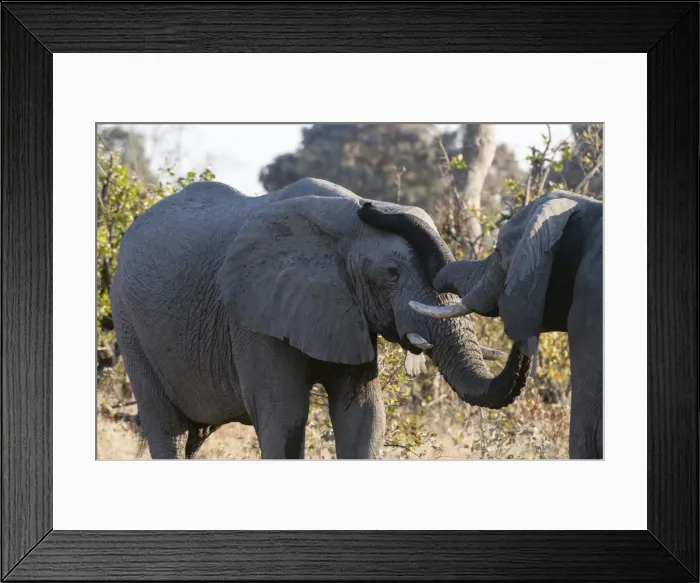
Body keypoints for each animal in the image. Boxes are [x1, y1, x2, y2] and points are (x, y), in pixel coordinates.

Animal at [110, 178, 533, 460]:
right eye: (392, 273)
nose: (374, 208)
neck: (342, 220)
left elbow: (364, 415)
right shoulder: (251, 316)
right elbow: (285, 417)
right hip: (129, 323)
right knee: (167, 428)